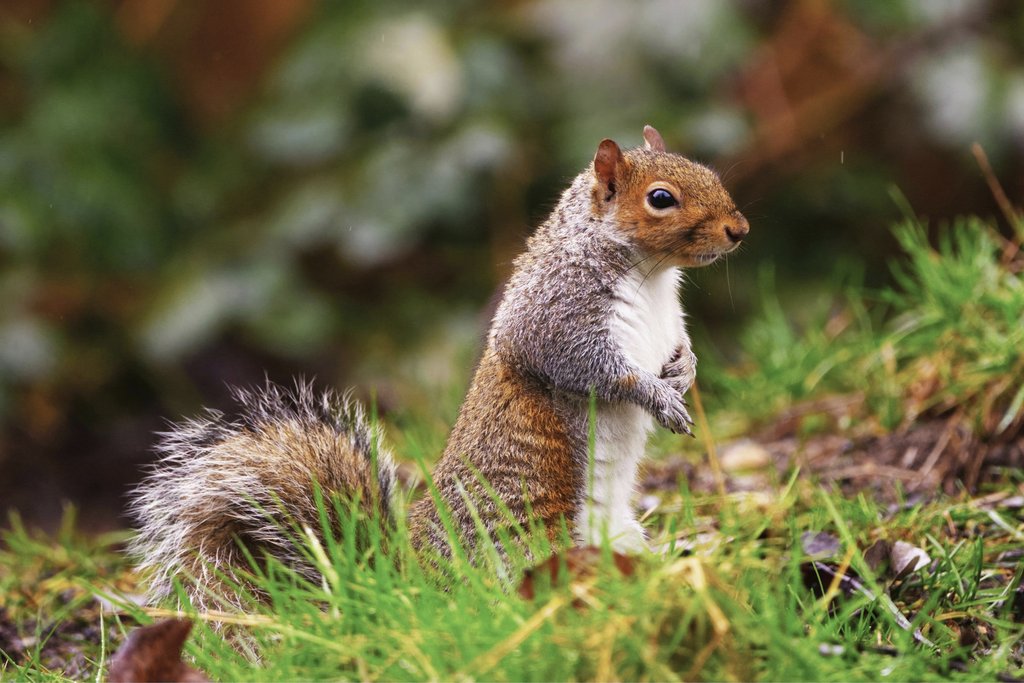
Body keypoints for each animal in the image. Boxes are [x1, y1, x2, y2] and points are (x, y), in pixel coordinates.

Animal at [129, 125, 749, 608]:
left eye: (706, 170)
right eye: (661, 198)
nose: (739, 230)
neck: (651, 276)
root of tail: (410, 581)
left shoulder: (667, 325)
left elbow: (680, 349)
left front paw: (685, 373)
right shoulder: (555, 320)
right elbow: (596, 371)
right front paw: (657, 396)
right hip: (531, 541)